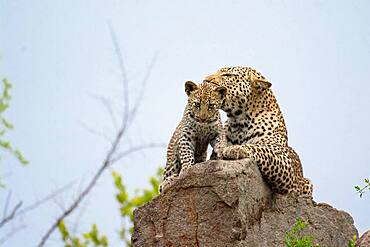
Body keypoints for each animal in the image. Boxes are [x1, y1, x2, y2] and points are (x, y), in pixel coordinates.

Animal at [202, 66, 312, 197]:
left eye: (228, 75)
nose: (205, 80)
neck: (239, 122)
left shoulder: (285, 162)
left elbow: (262, 149)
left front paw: (236, 149)